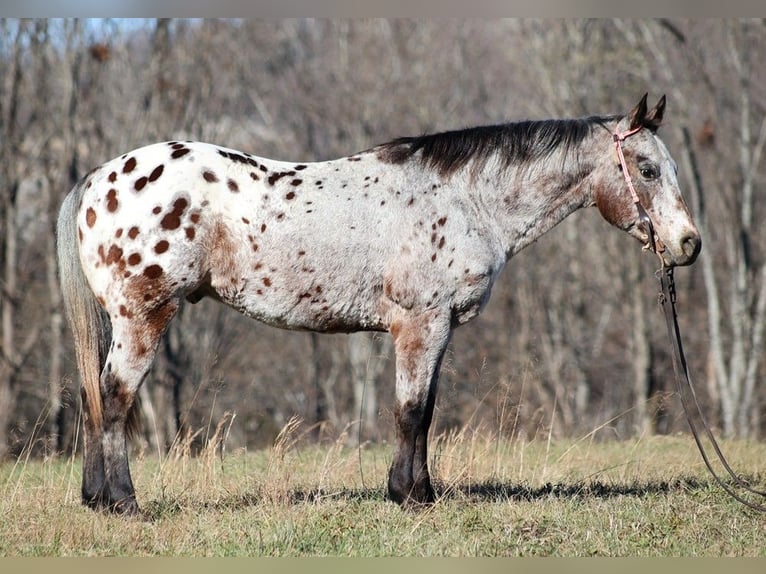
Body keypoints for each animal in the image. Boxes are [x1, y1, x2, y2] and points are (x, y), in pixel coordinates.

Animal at [55, 95, 704, 516]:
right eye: (647, 168)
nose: (688, 245)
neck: (465, 198)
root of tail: (98, 177)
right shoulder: (421, 324)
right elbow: (411, 412)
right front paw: (409, 498)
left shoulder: (438, 329)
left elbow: (427, 411)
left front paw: (421, 492)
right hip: (143, 318)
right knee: (114, 398)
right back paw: (124, 503)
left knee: (93, 396)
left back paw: (95, 500)